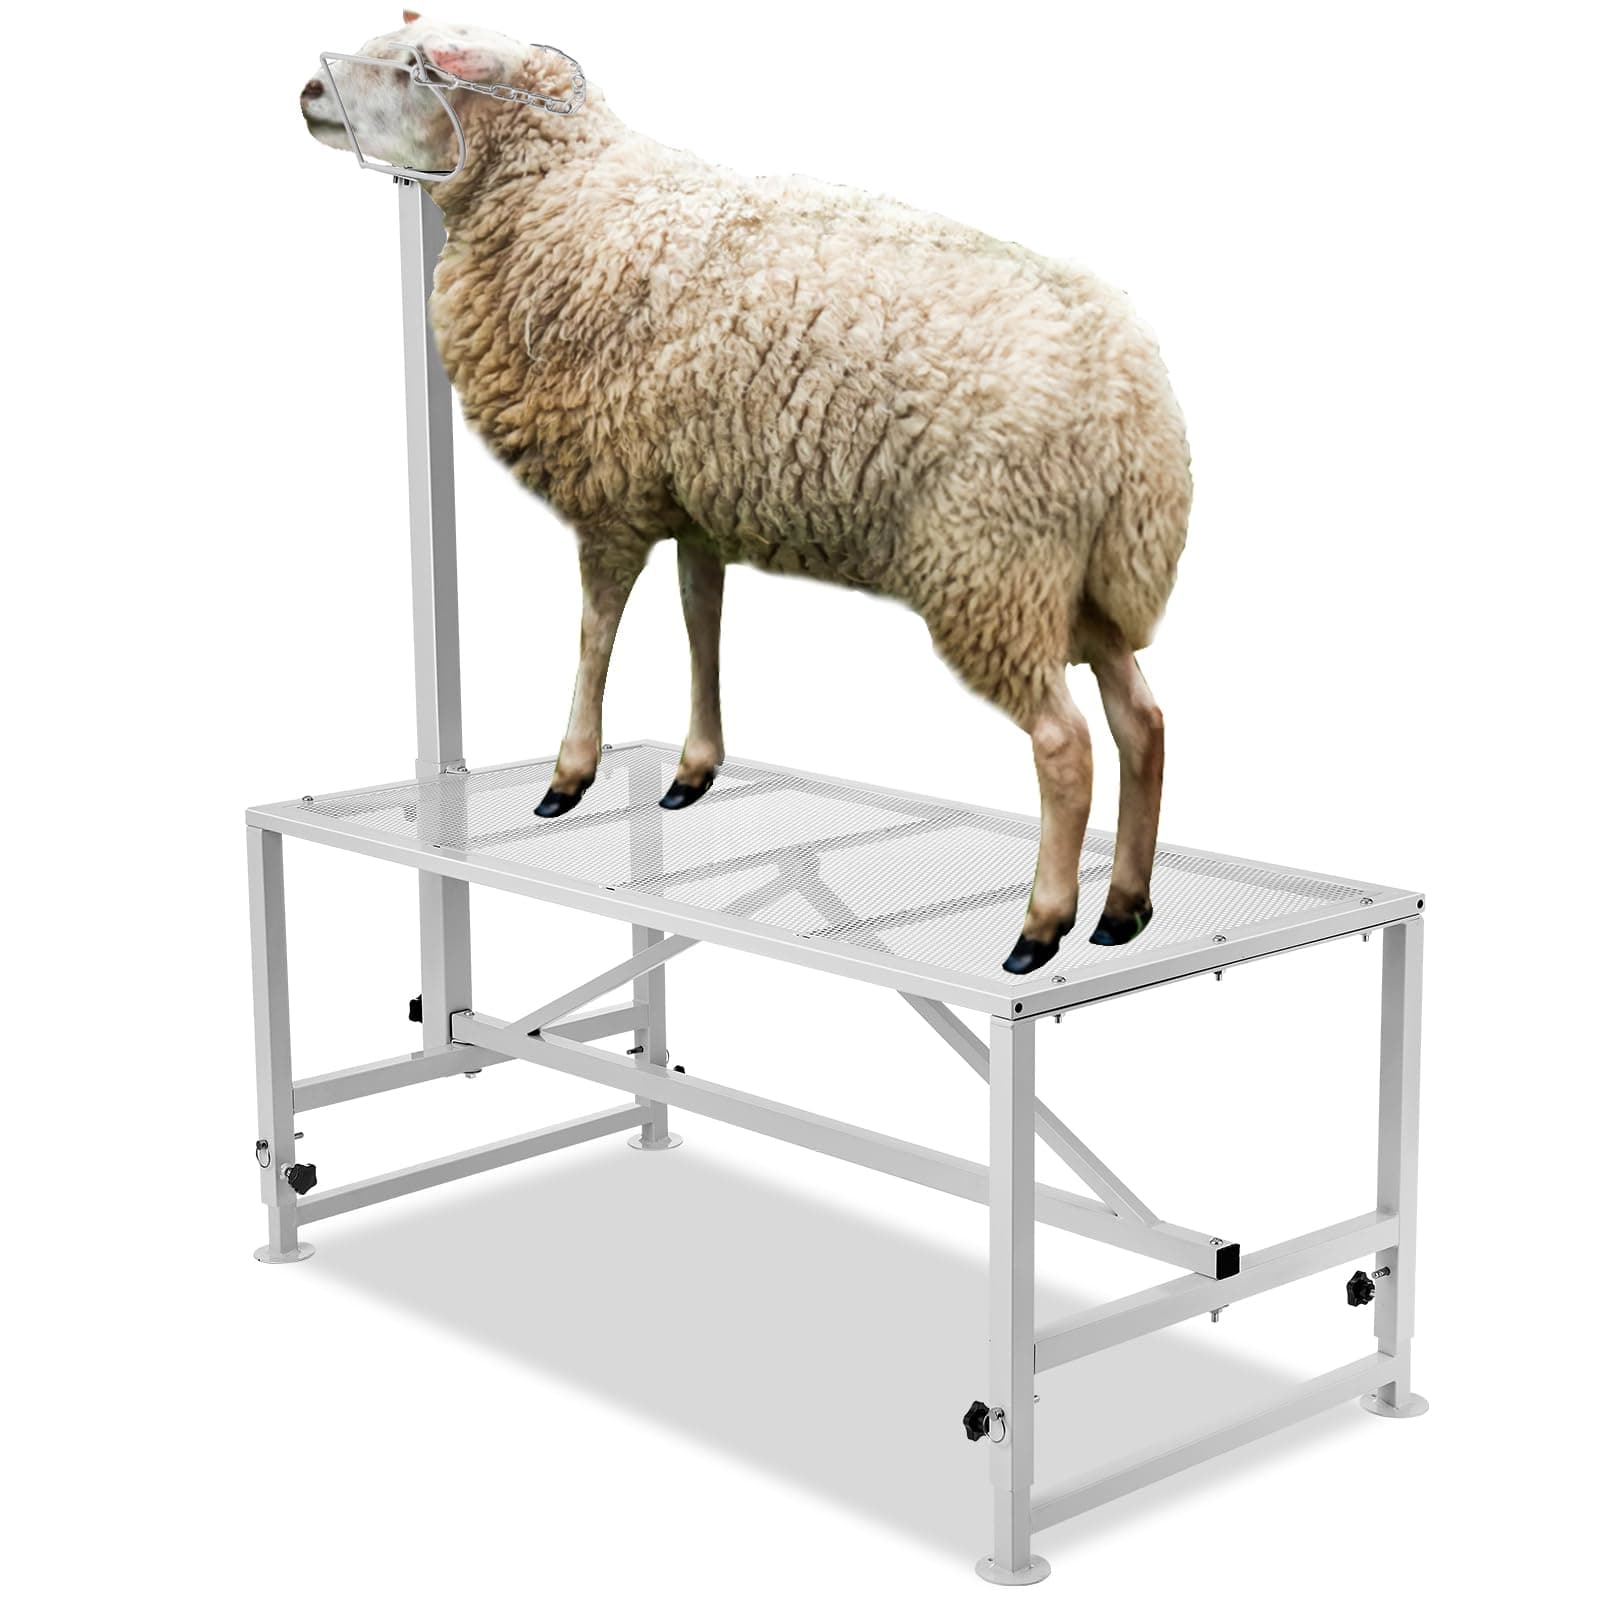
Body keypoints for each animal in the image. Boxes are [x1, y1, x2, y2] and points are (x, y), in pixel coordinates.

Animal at [301, 15, 1192, 974]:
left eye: (417, 69)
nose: (307, 92)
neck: (569, 199)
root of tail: (1132, 395)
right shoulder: (697, 496)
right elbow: (703, 621)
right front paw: (694, 767)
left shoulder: (611, 491)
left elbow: (595, 632)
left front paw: (568, 773)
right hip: (1078, 578)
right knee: (1142, 721)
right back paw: (1124, 908)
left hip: (993, 564)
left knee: (1066, 745)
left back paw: (1042, 925)